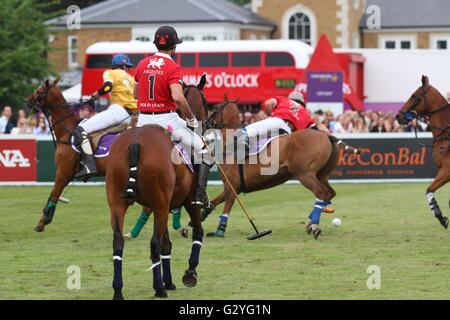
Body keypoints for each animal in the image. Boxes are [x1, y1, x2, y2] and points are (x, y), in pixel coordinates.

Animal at [28, 76, 209, 234]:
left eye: (39, 90)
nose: (27, 101)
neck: (67, 130)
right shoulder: (65, 172)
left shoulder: (63, 172)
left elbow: (54, 194)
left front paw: (42, 222)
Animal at [200, 99, 358, 239]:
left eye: (214, 108)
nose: (204, 124)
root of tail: (327, 136)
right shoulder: (234, 187)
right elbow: (215, 200)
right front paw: (202, 214)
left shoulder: (232, 185)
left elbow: (226, 207)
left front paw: (219, 231)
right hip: (322, 175)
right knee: (330, 193)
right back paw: (310, 221)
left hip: (305, 174)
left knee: (321, 192)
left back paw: (314, 226)